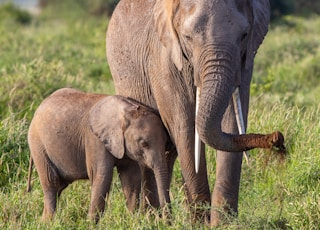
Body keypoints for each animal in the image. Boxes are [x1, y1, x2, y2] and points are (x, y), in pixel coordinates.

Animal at [26, 87, 171, 221]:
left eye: (166, 141)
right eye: (144, 143)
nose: (166, 222)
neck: (127, 110)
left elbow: (131, 178)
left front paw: (132, 221)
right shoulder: (94, 139)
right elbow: (102, 176)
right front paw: (90, 224)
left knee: (59, 187)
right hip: (38, 145)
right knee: (51, 183)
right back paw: (48, 222)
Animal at [106, 0, 286, 226]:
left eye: (244, 35)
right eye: (188, 38)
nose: (277, 137)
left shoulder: (244, 62)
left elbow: (231, 124)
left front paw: (224, 224)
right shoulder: (164, 61)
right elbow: (186, 128)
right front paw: (201, 223)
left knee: (166, 153)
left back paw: (162, 219)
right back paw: (152, 220)